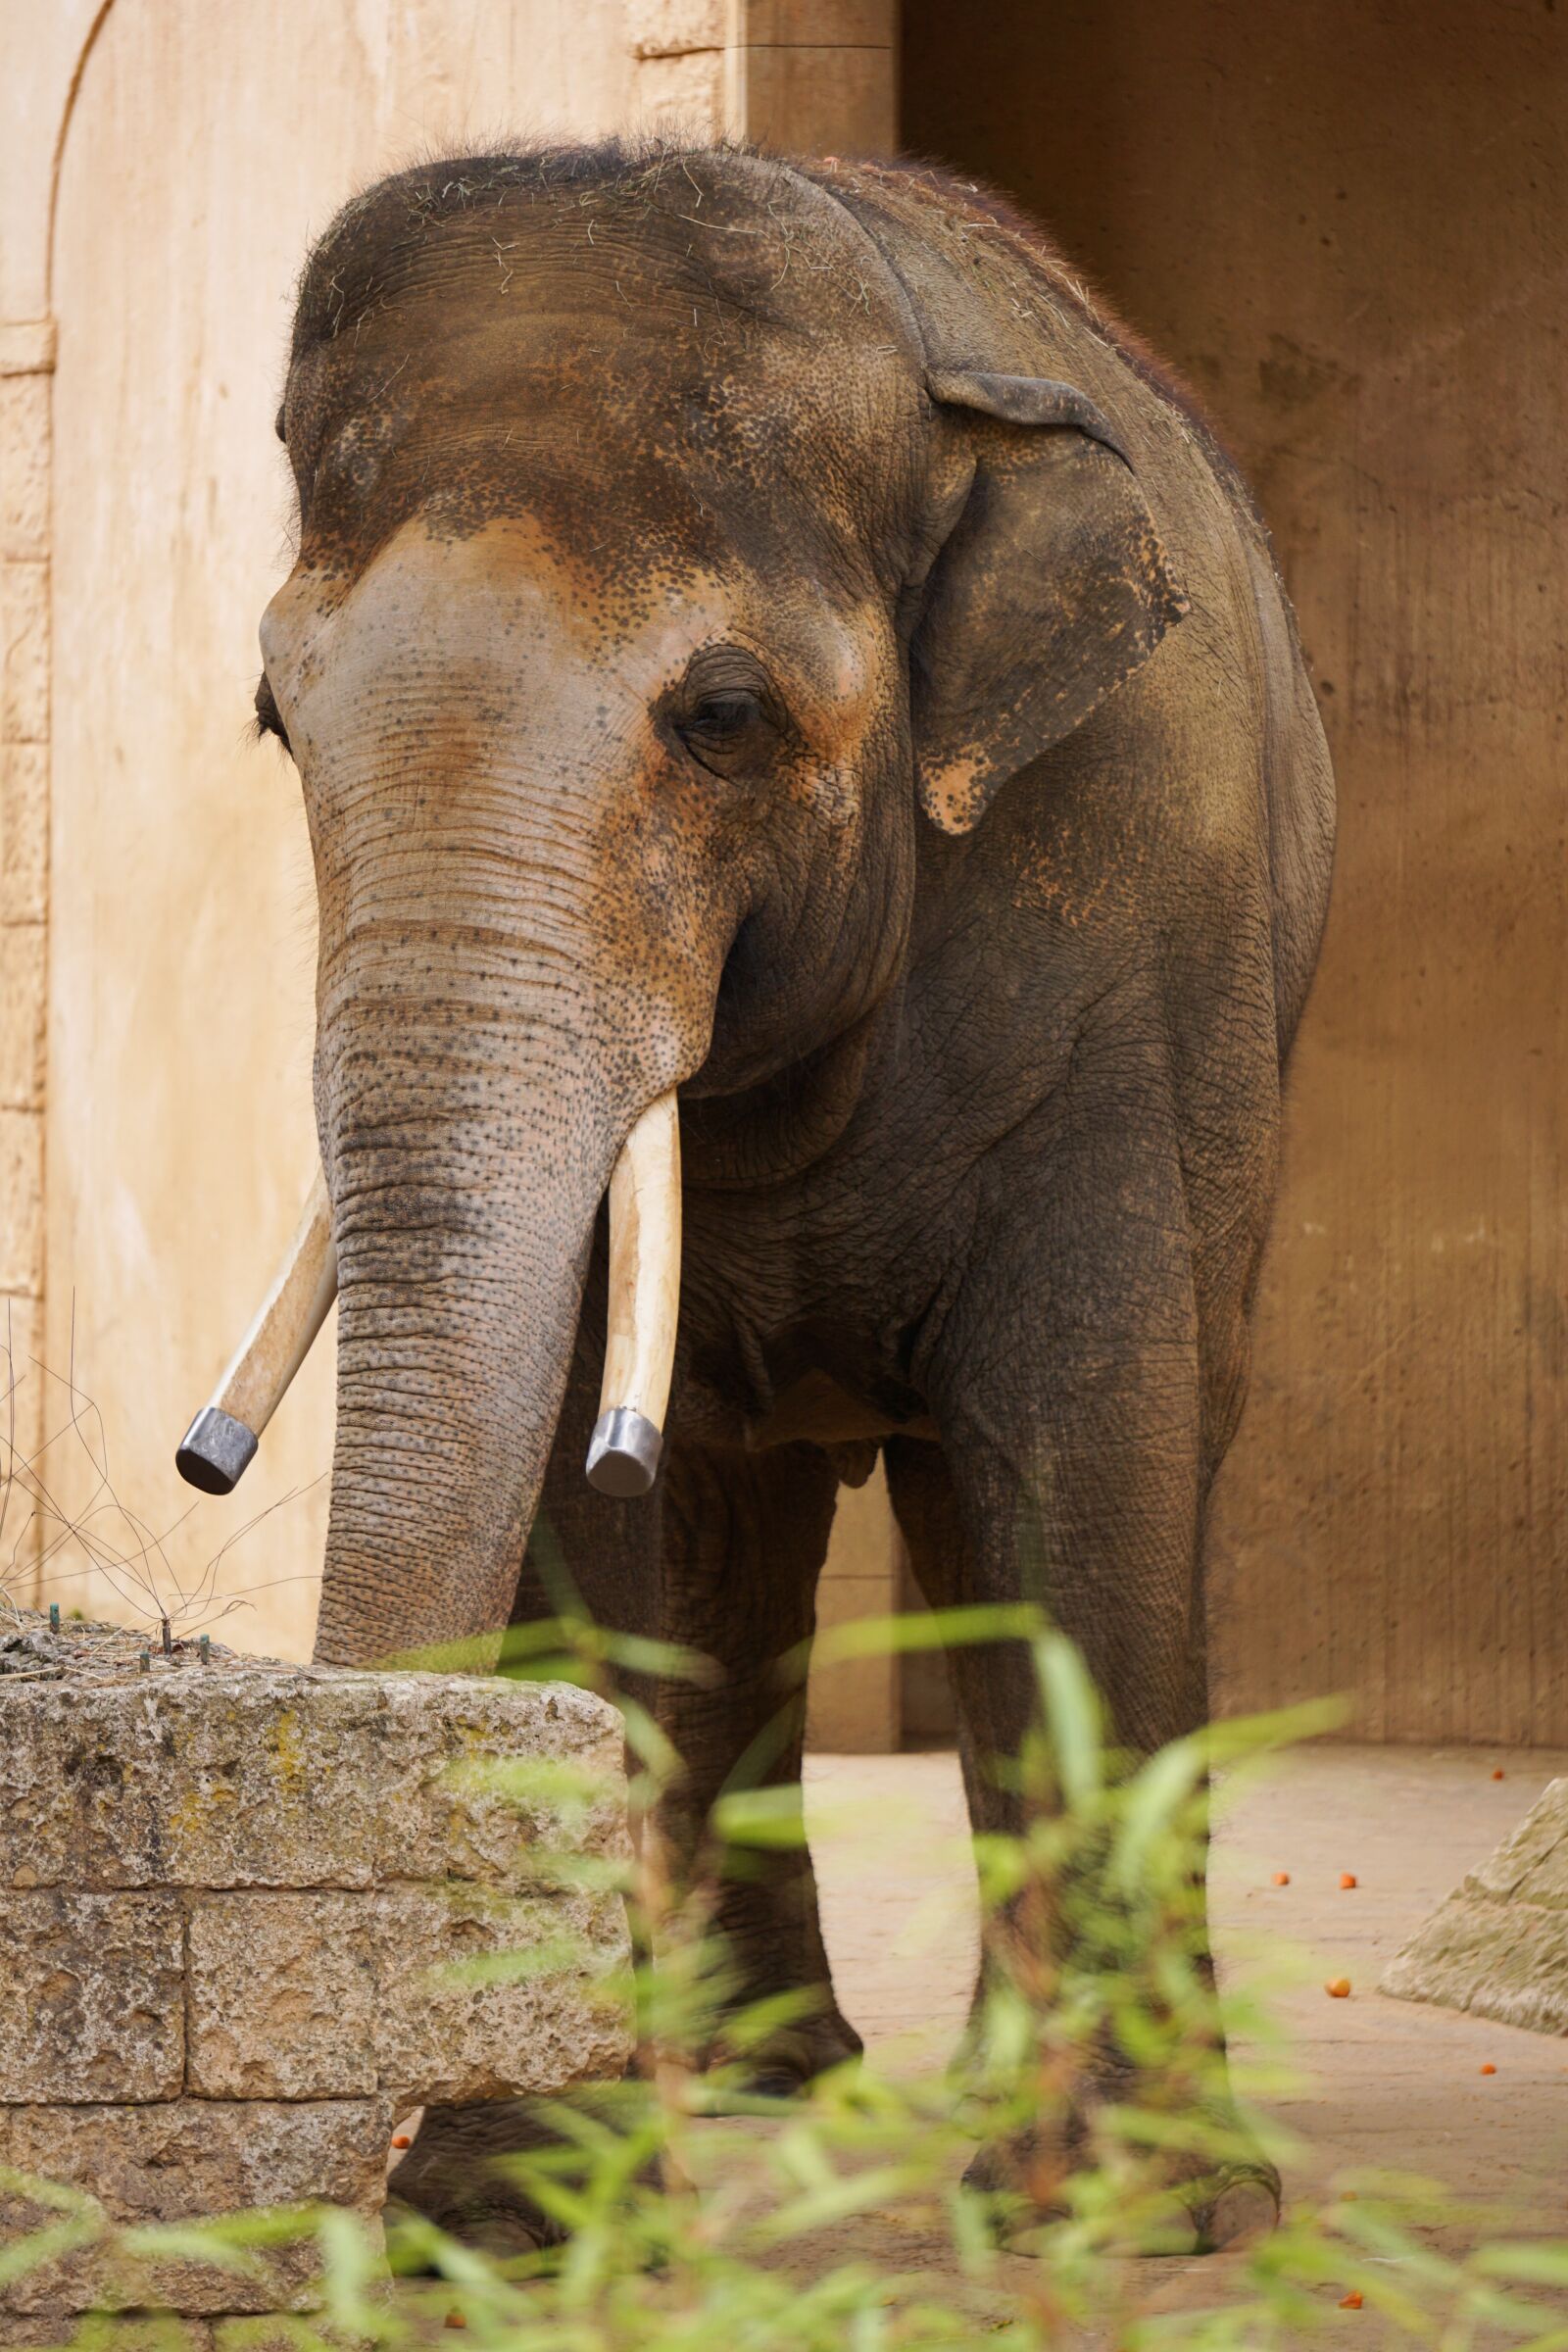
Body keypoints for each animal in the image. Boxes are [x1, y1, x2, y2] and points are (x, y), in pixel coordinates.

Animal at [252, 139, 1334, 2251]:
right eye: (271, 716)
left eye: (726, 718)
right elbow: (576, 1509)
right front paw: (515, 2220)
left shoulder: (1134, 922)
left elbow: (1087, 1439)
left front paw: (1133, 2214)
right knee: (732, 1535)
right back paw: (769, 2078)